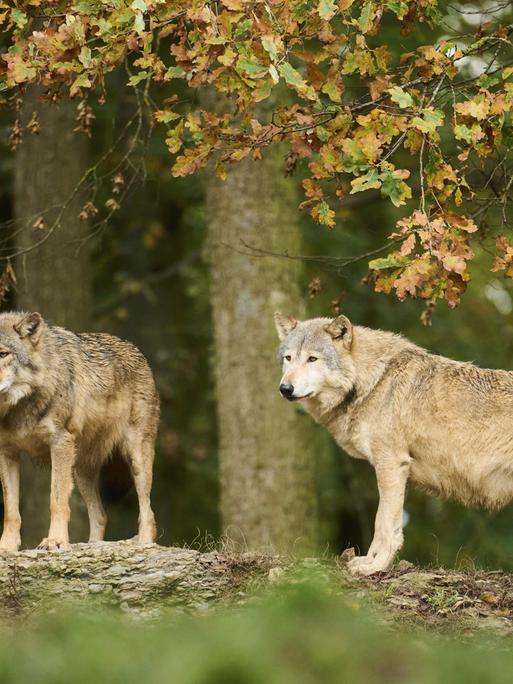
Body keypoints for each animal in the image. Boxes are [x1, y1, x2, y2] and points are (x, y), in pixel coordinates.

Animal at [0, 312, 158, 552]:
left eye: (2, 354)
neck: (19, 407)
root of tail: (137, 351)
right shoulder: (7, 452)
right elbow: (11, 511)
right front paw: (6, 547)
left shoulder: (59, 443)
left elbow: (56, 500)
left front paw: (55, 541)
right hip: (81, 471)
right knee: (101, 515)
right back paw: (93, 545)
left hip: (137, 460)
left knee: (147, 512)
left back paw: (145, 545)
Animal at [274, 312, 513, 576]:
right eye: (288, 358)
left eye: (312, 359)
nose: (285, 388)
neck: (376, 380)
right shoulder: (400, 472)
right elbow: (385, 523)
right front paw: (368, 561)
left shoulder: (390, 464)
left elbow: (384, 525)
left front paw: (375, 567)